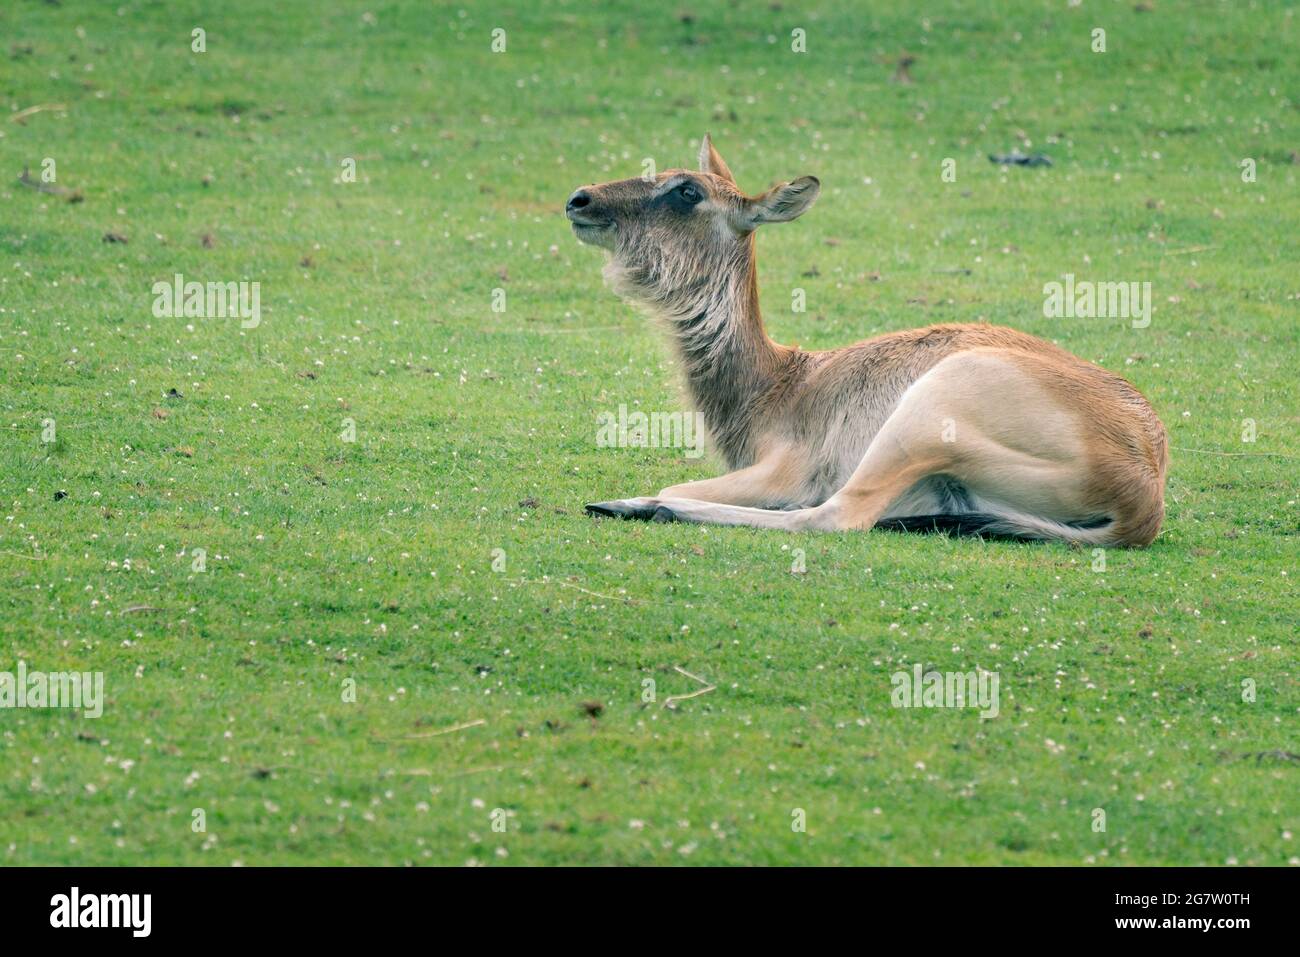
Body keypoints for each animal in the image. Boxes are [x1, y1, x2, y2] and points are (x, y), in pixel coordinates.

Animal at [564, 132, 1175, 546]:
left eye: (686, 190)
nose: (580, 199)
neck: (773, 388)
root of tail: (1144, 491)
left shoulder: (786, 466)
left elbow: (683, 487)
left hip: (928, 411)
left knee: (838, 514)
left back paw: (628, 505)